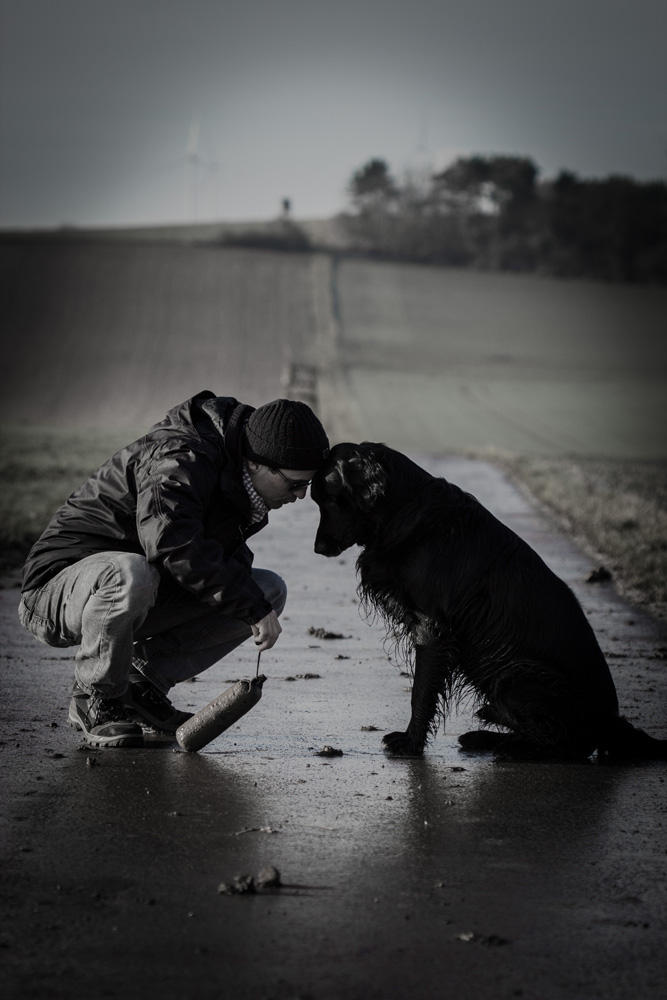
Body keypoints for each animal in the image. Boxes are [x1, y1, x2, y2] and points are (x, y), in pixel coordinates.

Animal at [314, 442, 667, 760]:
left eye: (330, 499)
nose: (318, 548)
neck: (403, 510)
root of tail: (611, 722)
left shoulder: (433, 629)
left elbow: (421, 693)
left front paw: (410, 743)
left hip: (514, 676)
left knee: (570, 745)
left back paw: (511, 748)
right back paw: (485, 734)